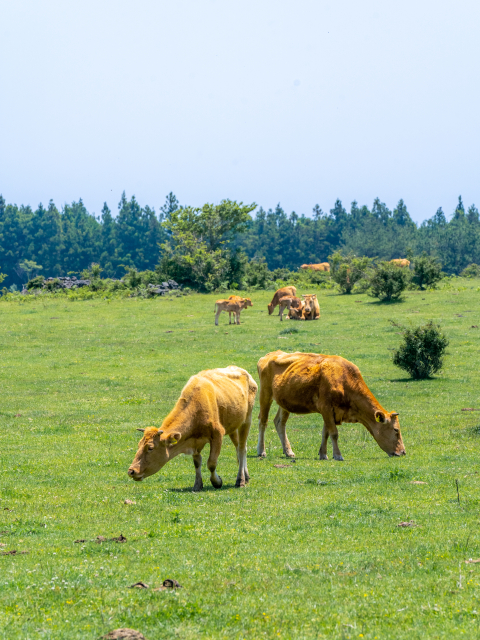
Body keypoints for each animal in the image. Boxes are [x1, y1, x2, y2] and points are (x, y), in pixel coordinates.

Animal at [125, 364, 256, 490]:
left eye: (151, 447)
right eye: (139, 445)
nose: (132, 471)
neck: (196, 406)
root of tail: (247, 374)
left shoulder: (217, 435)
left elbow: (211, 463)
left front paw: (217, 482)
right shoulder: (195, 442)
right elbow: (197, 462)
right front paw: (197, 485)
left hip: (246, 421)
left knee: (241, 449)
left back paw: (240, 480)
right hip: (233, 428)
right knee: (239, 448)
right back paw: (246, 476)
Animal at [256, 350, 406, 460]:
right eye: (396, 430)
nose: (403, 452)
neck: (344, 379)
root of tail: (268, 355)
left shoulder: (330, 413)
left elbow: (325, 433)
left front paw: (323, 454)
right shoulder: (326, 408)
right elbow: (334, 433)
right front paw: (338, 455)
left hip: (284, 403)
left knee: (280, 423)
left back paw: (288, 452)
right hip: (265, 395)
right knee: (263, 422)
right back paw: (261, 451)